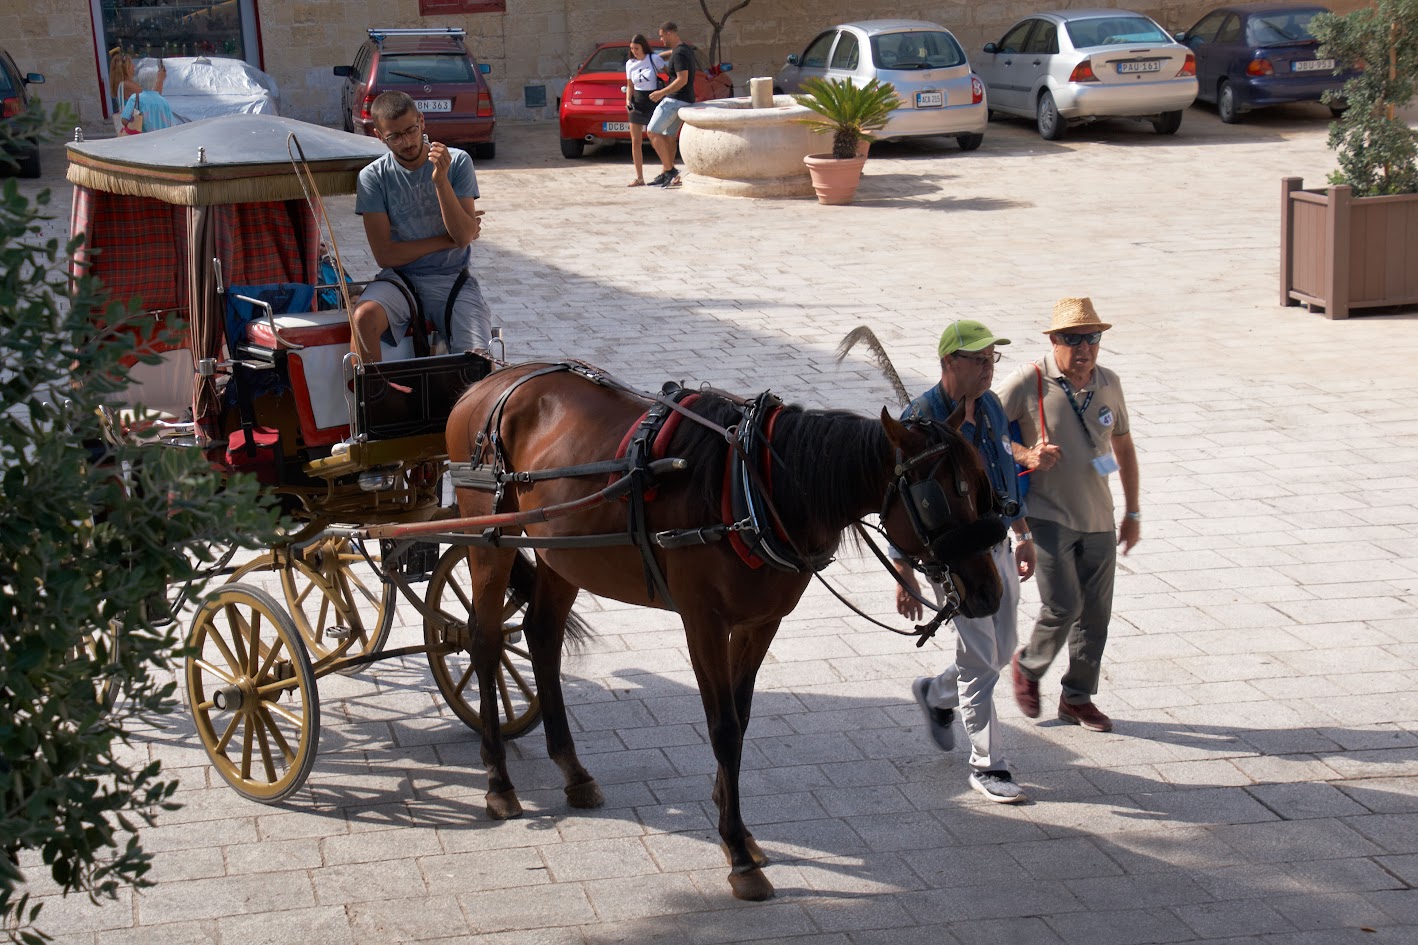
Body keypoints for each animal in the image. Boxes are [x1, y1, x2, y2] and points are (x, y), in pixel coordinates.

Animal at [436, 361, 1003, 896]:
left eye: (982, 487)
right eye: (935, 499)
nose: (990, 593)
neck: (755, 486)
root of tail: (487, 384)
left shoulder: (761, 623)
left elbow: (742, 715)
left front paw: (738, 826)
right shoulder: (702, 623)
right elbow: (724, 728)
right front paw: (737, 854)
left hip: (560, 552)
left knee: (542, 635)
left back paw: (573, 771)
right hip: (489, 538)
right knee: (485, 639)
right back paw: (498, 780)